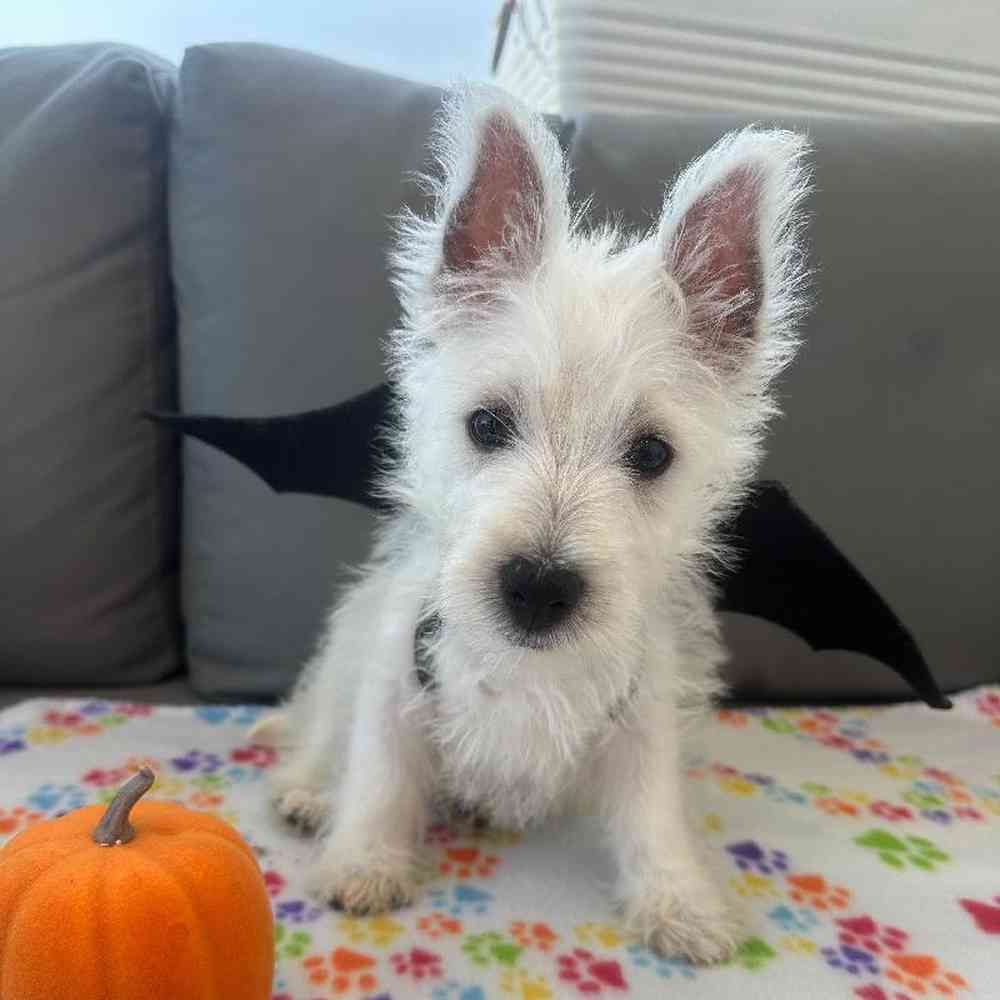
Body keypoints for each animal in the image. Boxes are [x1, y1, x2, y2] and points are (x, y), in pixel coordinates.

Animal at [254, 86, 808, 960]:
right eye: (486, 425)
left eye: (652, 453)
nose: (539, 588)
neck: (527, 668)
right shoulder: (392, 677)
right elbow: (379, 774)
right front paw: (366, 860)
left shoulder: (645, 718)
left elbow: (654, 812)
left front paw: (679, 900)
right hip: (346, 646)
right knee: (322, 725)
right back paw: (308, 792)